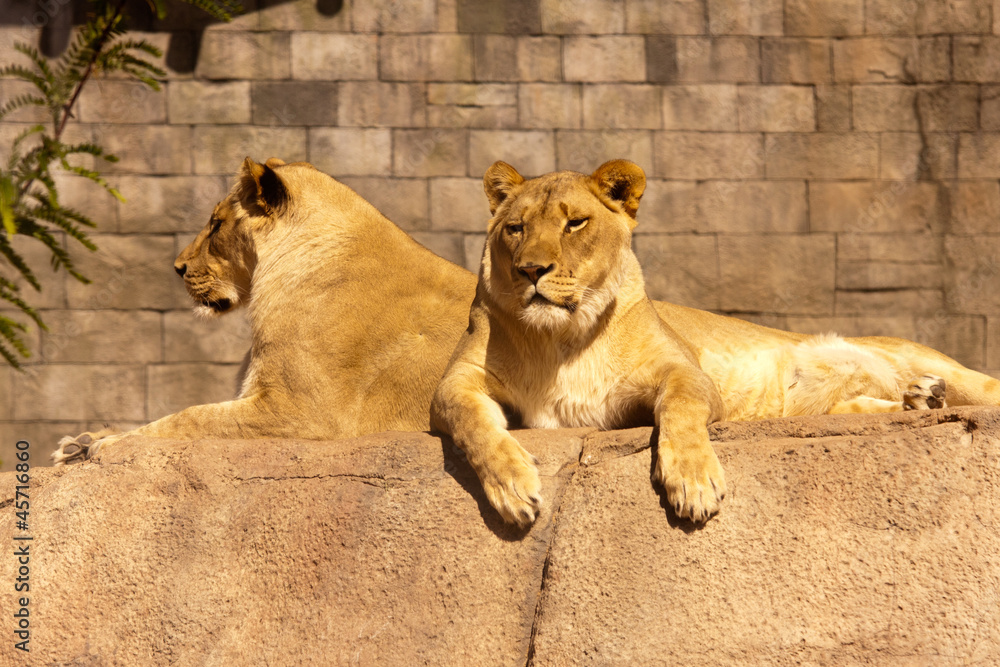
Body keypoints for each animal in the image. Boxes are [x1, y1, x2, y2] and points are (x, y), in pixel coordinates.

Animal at [52, 157, 478, 463]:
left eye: (216, 224)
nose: (178, 267)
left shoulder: (305, 413)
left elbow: (192, 416)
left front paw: (111, 445)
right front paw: (83, 441)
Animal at [430, 159, 1000, 527]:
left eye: (575, 223)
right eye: (515, 229)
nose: (531, 270)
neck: (560, 339)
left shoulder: (685, 372)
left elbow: (680, 409)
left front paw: (693, 483)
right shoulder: (456, 383)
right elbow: (470, 419)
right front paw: (512, 488)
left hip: (918, 355)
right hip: (815, 406)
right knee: (858, 406)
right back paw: (921, 398)